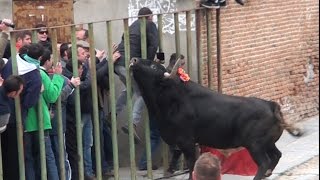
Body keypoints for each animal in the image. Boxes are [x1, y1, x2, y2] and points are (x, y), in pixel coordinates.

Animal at [130, 58, 302, 180]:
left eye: (153, 67)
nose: (134, 60)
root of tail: (271, 105)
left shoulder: (187, 142)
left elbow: (192, 165)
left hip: (255, 145)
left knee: (265, 162)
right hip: (267, 143)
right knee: (276, 155)